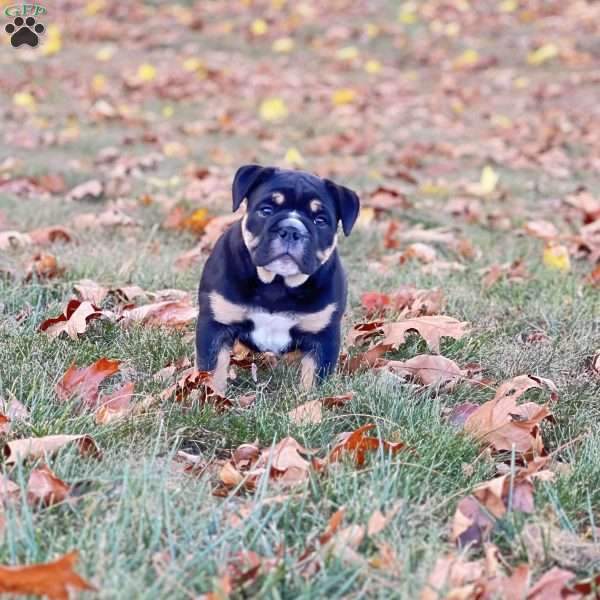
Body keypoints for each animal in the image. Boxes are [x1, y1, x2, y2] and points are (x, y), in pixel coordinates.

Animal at [195, 165, 358, 394]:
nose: (291, 229)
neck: (277, 284)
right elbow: (212, 371)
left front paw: (308, 402)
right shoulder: (215, 325)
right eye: (266, 210)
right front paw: (213, 397)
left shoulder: (323, 337)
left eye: (320, 221)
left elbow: (313, 379)